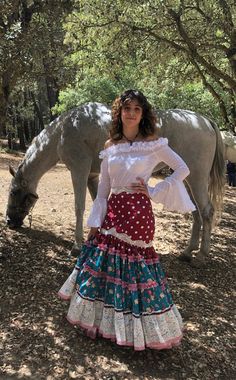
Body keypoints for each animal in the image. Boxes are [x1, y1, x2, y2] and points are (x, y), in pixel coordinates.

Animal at [6, 101, 226, 268]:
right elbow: (99, 207)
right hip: (188, 179)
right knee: (197, 213)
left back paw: (201, 256)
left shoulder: (79, 171)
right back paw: (188, 252)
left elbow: (79, 207)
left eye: (14, 192)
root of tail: (205, 121)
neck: (62, 131)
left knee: (207, 212)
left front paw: (77, 246)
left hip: (196, 177)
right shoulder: (93, 176)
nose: (9, 221)